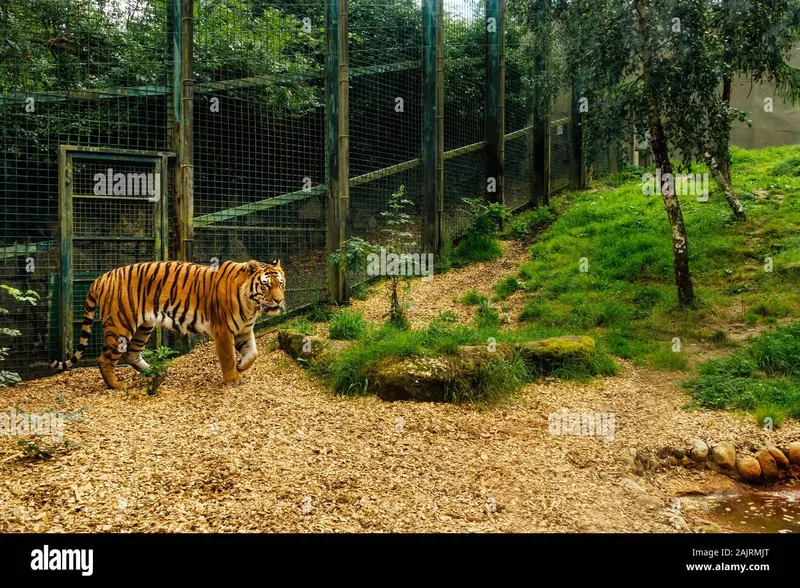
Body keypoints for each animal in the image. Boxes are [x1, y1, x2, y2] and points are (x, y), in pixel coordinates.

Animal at [48, 258, 286, 390]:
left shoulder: (244, 330)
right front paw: (233, 378)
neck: (252, 306)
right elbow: (227, 357)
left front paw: (241, 366)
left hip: (145, 325)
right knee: (105, 359)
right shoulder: (223, 331)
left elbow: (253, 353)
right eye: (266, 285)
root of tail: (101, 278)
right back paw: (116, 385)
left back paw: (155, 373)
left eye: (281, 284)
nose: (279, 300)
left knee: (131, 354)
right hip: (120, 326)